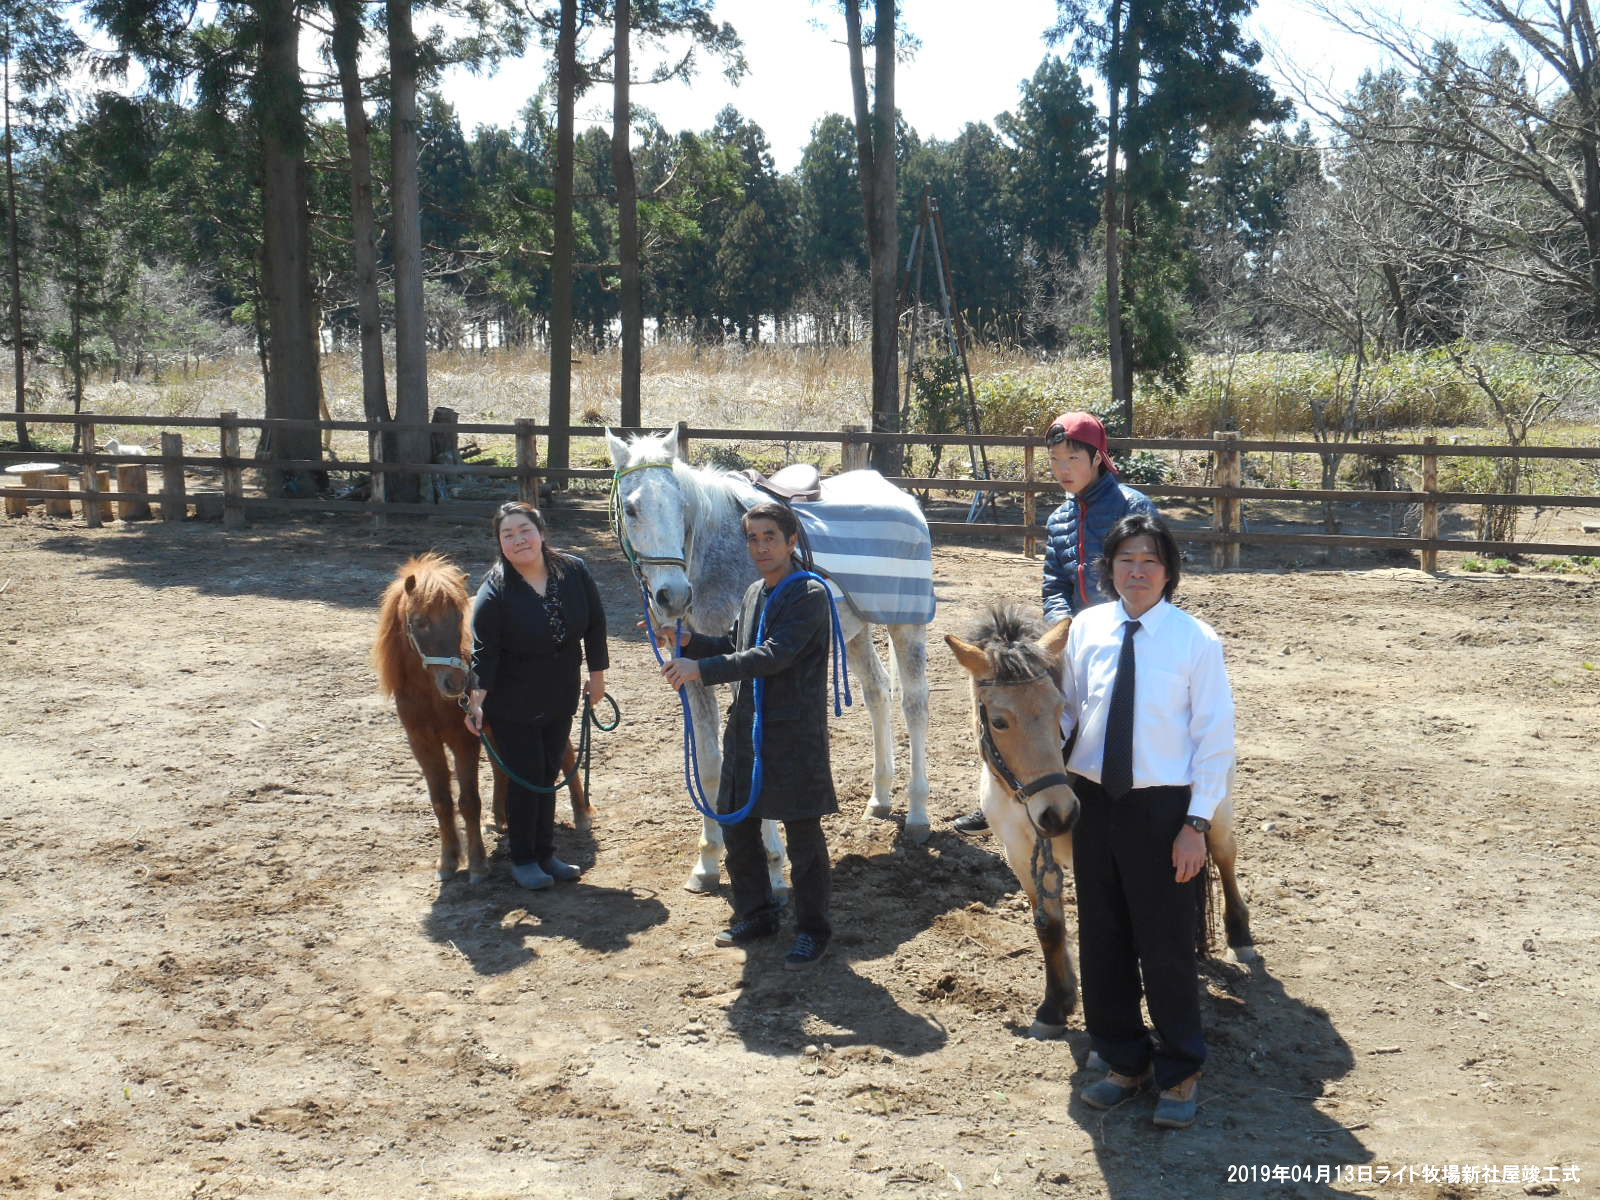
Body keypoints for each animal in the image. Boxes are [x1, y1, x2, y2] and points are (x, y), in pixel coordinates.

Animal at [371, 553, 592, 883]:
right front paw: (448, 861)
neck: (429, 693)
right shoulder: (422, 742)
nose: (456, 682)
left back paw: (581, 816)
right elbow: (441, 801)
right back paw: (499, 819)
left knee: (565, 756)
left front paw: (477, 864)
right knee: (504, 770)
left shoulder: (463, 740)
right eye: (420, 622)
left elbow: (468, 801)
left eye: (458, 617)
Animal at [608, 428, 934, 896]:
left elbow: (752, 758)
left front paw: (775, 868)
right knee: (877, 693)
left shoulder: (746, 667)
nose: (674, 596)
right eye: (632, 508)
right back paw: (880, 799)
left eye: (681, 506)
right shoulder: (694, 675)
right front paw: (707, 863)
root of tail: (901, 498)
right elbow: (710, 767)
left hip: (907, 624)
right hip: (855, 631)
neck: (713, 556)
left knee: (914, 705)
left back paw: (919, 816)